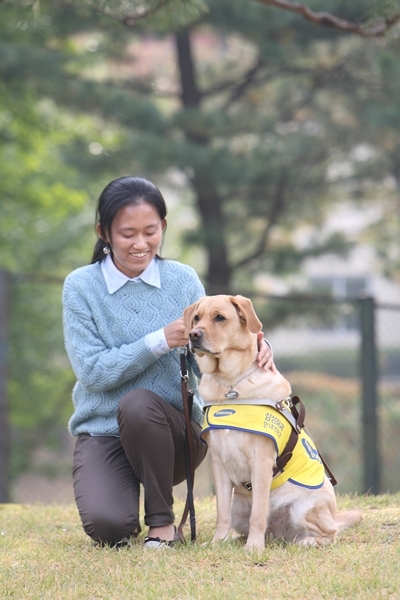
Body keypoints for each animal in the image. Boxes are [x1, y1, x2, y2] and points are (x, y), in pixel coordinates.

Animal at [184, 292, 362, 552]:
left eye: (220, 318)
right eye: (196, 318)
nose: (193, 334)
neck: (230, 386)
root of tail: (281, 534)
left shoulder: (261, 460)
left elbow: (258, 513)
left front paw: (254, 547)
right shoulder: (218, 462)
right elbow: (221, 513)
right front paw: (218, 542)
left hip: (304, 507)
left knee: (331, 533)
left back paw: (306, 540)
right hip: (238, 509)